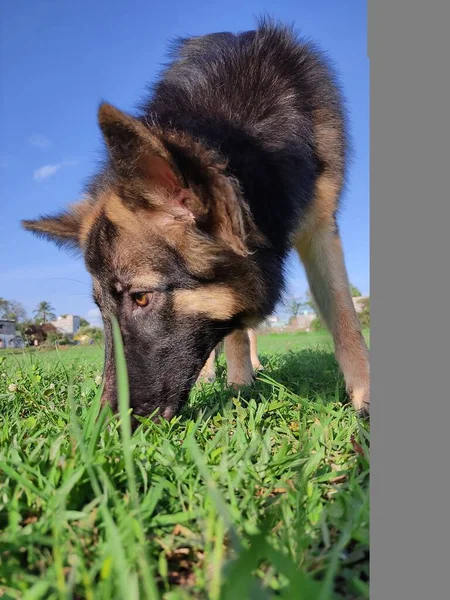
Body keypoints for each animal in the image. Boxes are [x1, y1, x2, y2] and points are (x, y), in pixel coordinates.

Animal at [22, 21, 370, 420]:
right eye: (100, 309)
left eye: (141, 297)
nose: (107, 424)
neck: (242, 139)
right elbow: (234, 332)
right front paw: (238, 384)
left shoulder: (321, 226)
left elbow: (345, 316)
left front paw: (364, 394)